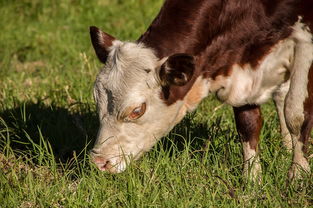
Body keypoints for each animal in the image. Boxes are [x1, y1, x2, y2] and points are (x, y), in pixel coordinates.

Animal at [88, 0, 312, 180]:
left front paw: (298, 174)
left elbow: (296, 114)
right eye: (97, 102)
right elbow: (248, 123)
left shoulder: (304, 38)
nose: (99, 162)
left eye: (137, 110)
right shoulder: (241, 65)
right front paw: (251, 180)